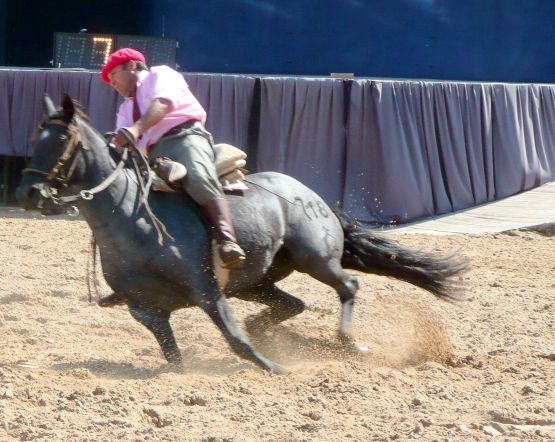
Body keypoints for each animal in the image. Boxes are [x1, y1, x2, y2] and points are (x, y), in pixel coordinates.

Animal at [16, 94, 470, 372]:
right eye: (34, 137)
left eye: (61, 140)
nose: (28, 193)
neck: (132, 219)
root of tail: (310, 195)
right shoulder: (145, 310)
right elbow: (173, 356)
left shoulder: (207, 291)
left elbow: (236, 340)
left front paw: (277, 369)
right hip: (256, 282)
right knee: (292, 304)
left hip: (315, 259)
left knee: (349, 286)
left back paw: (346, 342)